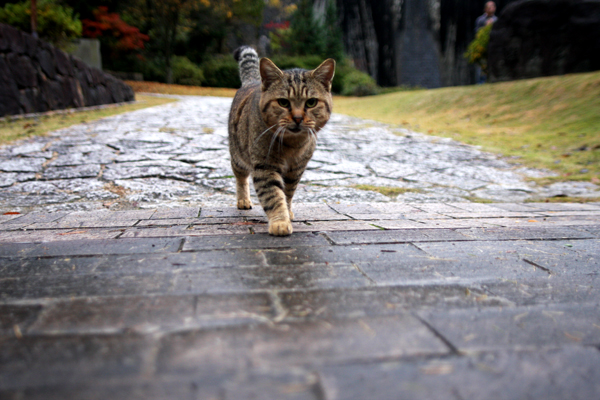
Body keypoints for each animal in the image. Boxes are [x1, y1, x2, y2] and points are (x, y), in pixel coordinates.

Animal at [227, 46, 336, 236]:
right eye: (283, 102)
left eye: (311, 102)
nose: (298, 118)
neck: (292, 145)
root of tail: (253, 81)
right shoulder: (265, 166)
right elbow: (273, 196)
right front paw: (280, 222)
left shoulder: (296, 170)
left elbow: (287, 193)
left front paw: (288, 211)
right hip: (238, 156)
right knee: (241, 177)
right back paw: (243, 200)